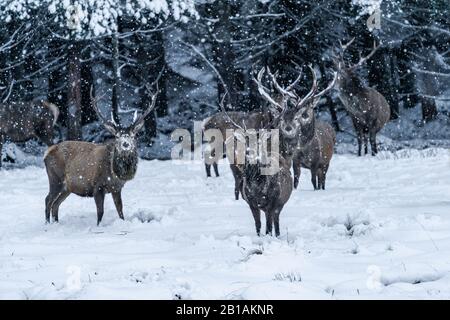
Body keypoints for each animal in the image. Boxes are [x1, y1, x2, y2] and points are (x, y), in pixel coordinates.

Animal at [44, 87, 156, 225]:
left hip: (67, 188)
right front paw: (98, 226)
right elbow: (100, 212)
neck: (115, 173)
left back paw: (56, 223)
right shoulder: (97, 186)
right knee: (48, 200)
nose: (125, 144)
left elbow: (120, 209)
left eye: (133, 135)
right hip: (56, 178)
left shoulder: (117, 188)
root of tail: (47, 152)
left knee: (56, 204)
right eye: (117, 136)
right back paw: (47, 224)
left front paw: (122, 222)